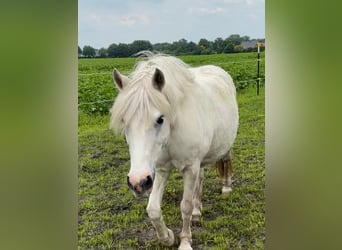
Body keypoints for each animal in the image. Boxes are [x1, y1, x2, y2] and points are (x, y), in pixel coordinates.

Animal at [109, 52, 238, 250]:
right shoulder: (161, 170)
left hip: (225, 145)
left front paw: (184, 241)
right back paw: (197, 210)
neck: (171, 134)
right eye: (124, 120)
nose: (137, 182)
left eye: (160, 119)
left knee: (226, 160)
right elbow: (153, 209)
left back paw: (226, 188)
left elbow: (185, 206)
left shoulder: (189, 168)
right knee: (200, 179)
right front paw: (168, 237)